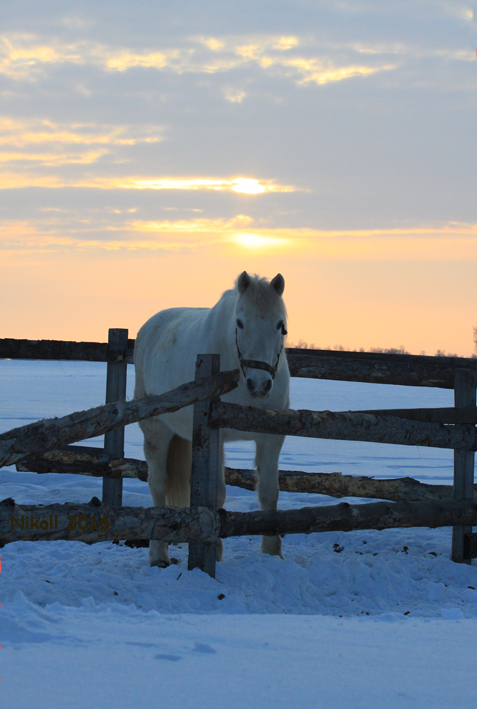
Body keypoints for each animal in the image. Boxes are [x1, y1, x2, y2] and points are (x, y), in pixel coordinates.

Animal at [134, 270, 290, 564]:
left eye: (280, 325)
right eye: (240, 322)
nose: (259, 385)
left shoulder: (270, 437)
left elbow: (269, 492)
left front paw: (272, 552)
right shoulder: (217, 434)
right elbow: (217, 494)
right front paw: (213, 551)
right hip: (156, 429)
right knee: (158, 485)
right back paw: (159, 554)